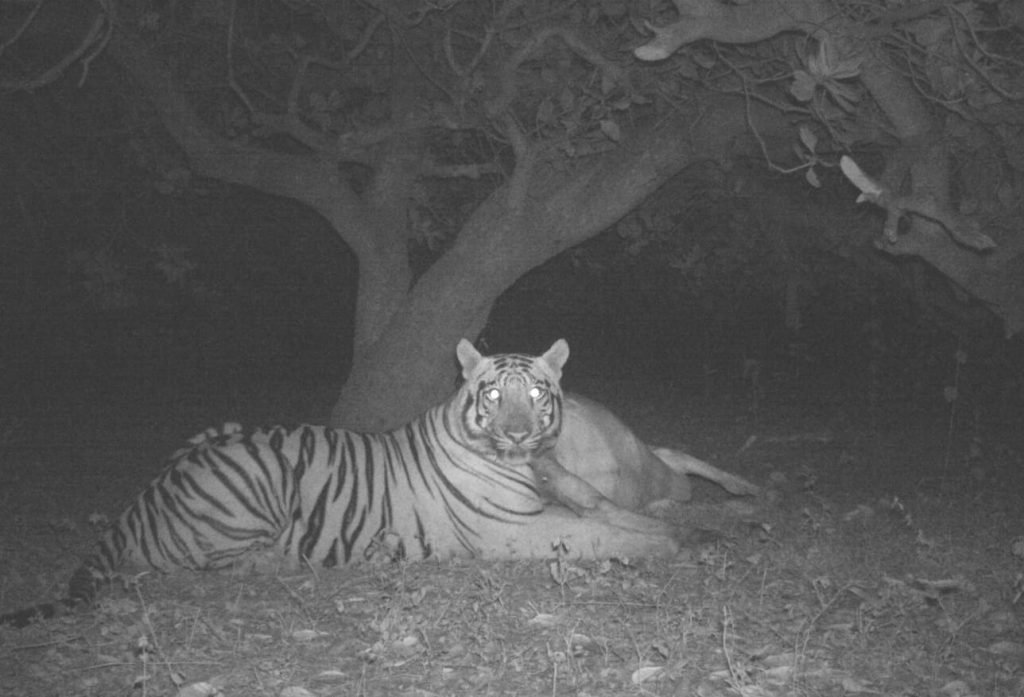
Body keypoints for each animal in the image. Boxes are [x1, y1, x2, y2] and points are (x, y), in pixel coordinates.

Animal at [0, 339, 680, 628]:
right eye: (492, 394)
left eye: (537, 393)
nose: (516, 433)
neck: (525, 462)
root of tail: (141, 498)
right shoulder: (514, 530)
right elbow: (600, 536)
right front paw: (670, 544)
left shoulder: (565, 493)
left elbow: (614, 514)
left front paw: (674, 528)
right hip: (253, 481)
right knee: (216, 564)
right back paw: (288, 560)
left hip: (217, 431)